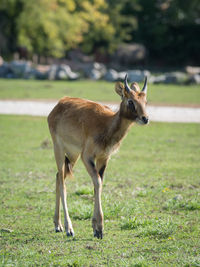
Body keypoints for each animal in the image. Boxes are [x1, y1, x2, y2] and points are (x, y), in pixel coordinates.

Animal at [47, 74, 148, 240]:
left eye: (145, 100)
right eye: (130, 101)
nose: (145, 118)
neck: (106, 125)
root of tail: (59, 104)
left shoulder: (103, 158)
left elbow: (98, 184)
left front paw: (95, 228)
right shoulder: (87, 157)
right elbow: (98, 182)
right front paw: (99, 228)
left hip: (72, 155)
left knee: (57, 177)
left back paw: (58, 225)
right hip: (59, 150)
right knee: (61, 181)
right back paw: (69, 229)